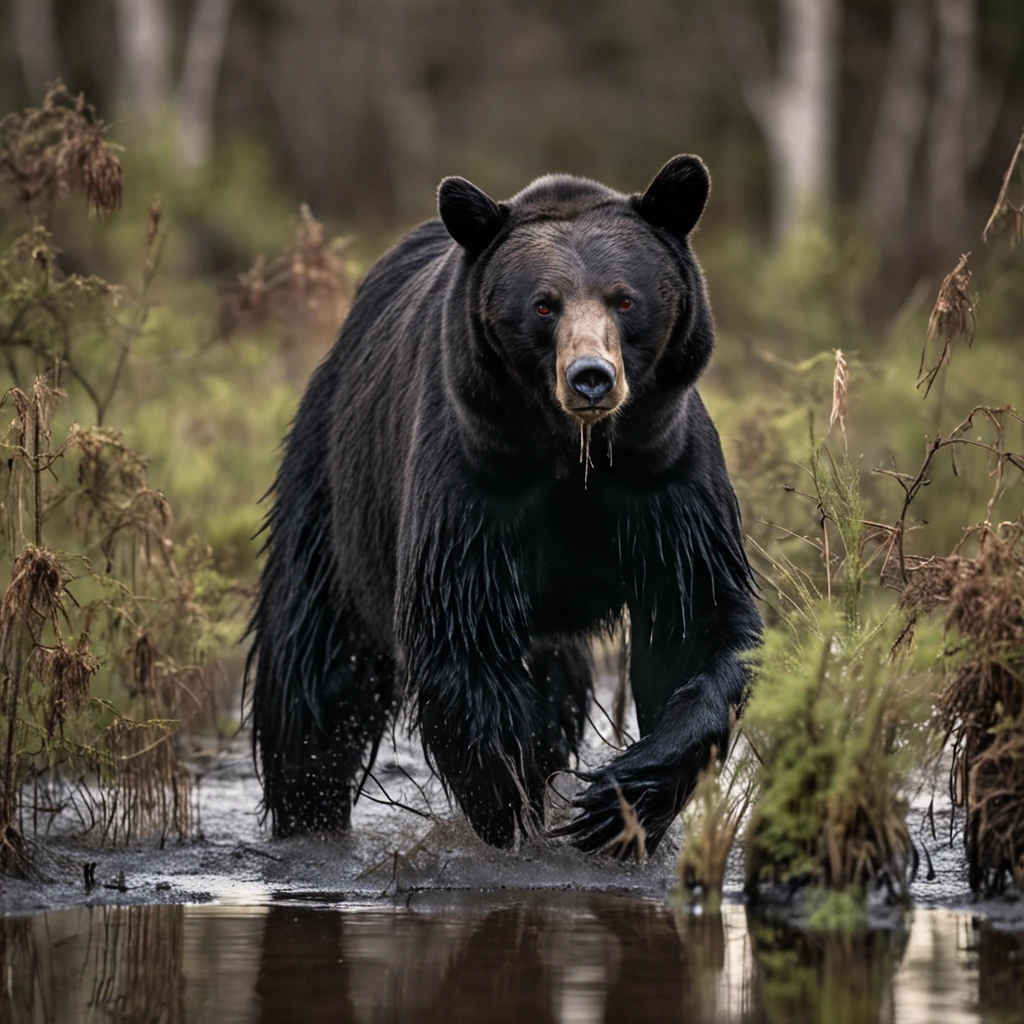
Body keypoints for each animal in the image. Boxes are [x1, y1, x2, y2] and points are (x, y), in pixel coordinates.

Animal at [245, 153, 761, 856]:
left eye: (625, 298)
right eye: (544, 305)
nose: (591, 377)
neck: (575, 454)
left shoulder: (665, 478)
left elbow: (700, 618)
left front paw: (616, 802)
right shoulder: (475, 480)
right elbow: (458, 631)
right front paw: (509, 810)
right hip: (336, 486)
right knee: (313, 666)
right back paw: (308, 815)